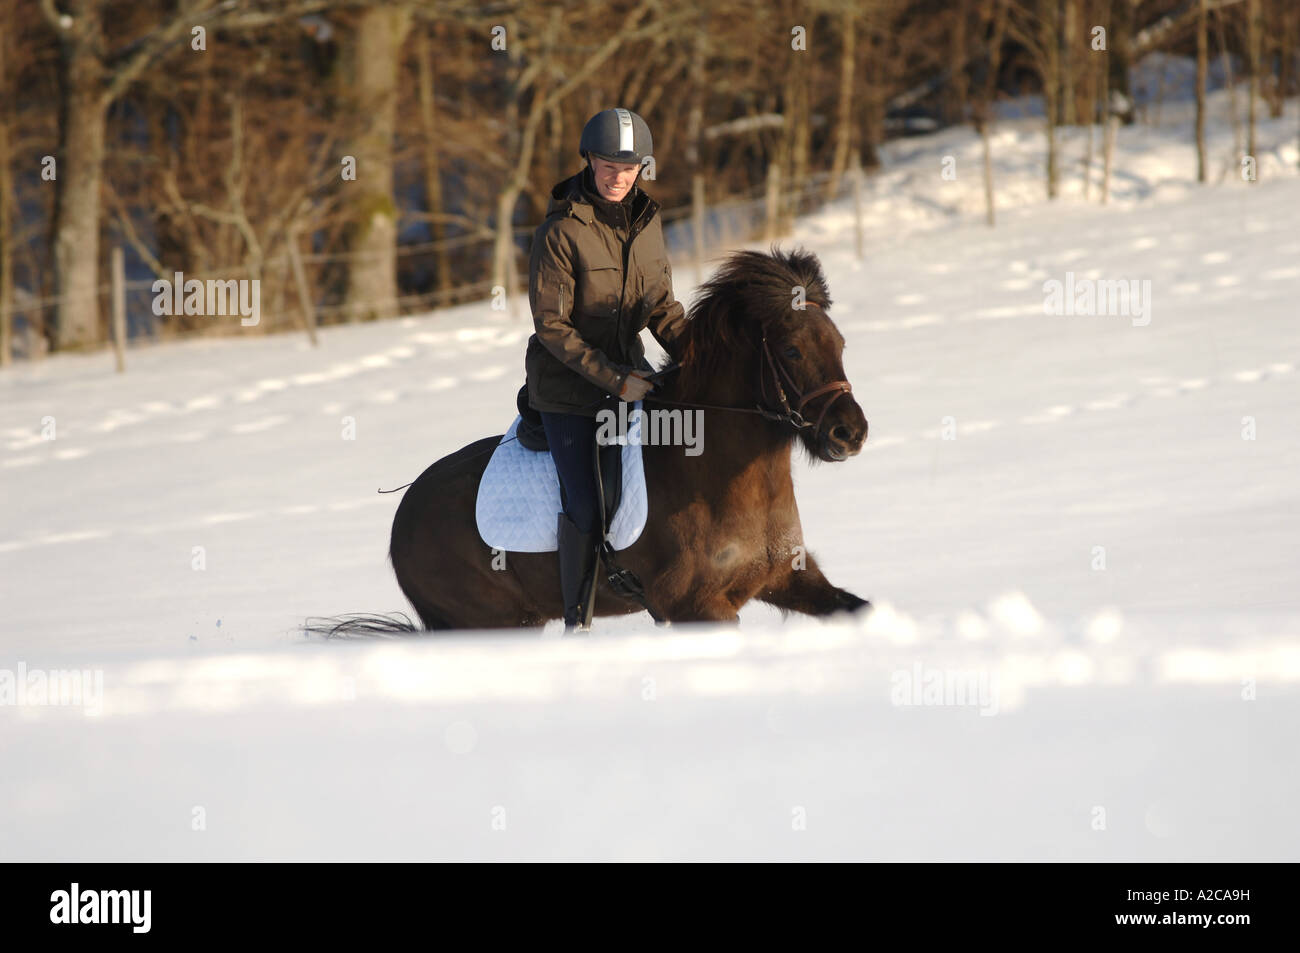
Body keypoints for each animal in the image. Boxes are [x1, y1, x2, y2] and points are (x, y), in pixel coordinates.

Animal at [309, 245, 868, 634]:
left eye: (840, 343)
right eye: (792, 350)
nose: (851, 432)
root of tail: (403, 516)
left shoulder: (789, 578)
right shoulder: (696, 607)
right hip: (496, 623)